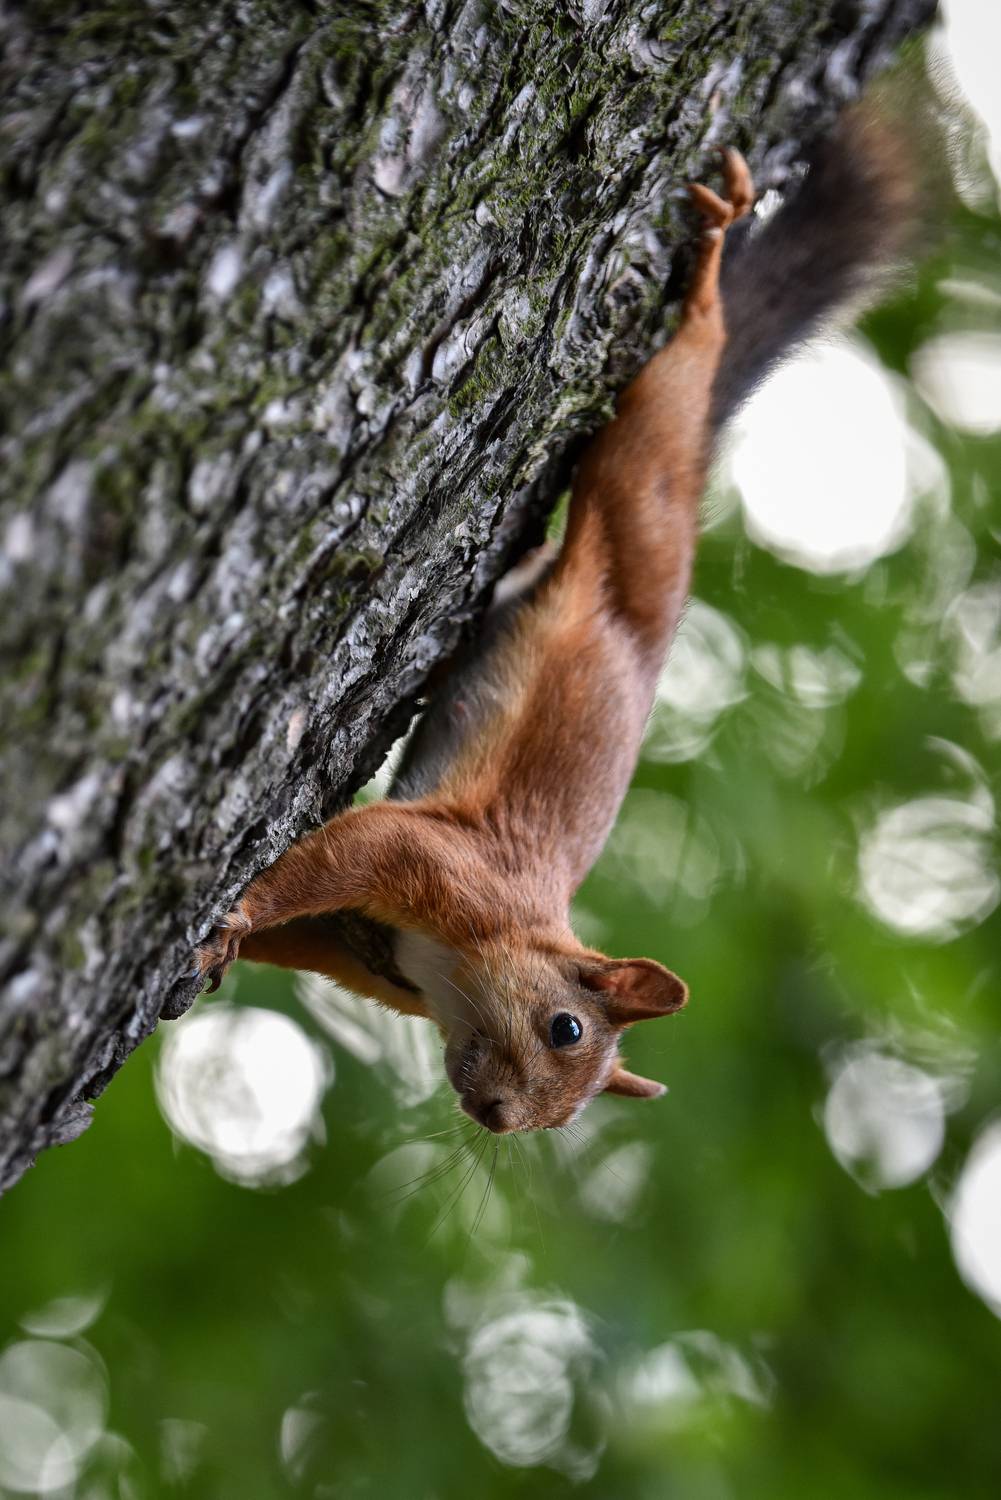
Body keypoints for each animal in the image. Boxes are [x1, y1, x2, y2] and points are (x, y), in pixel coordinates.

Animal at [195, 107, 919, 1134]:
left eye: (569, 1117)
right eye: (566, 1027)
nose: (501, 1118)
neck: (469, 958)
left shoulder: (360, 947)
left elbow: (304, 930)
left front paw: (230, 943)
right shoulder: (445, 865)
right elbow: (350, 851)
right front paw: (238, 917)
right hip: (642, 504)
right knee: (670, 403)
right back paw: (708, 266)